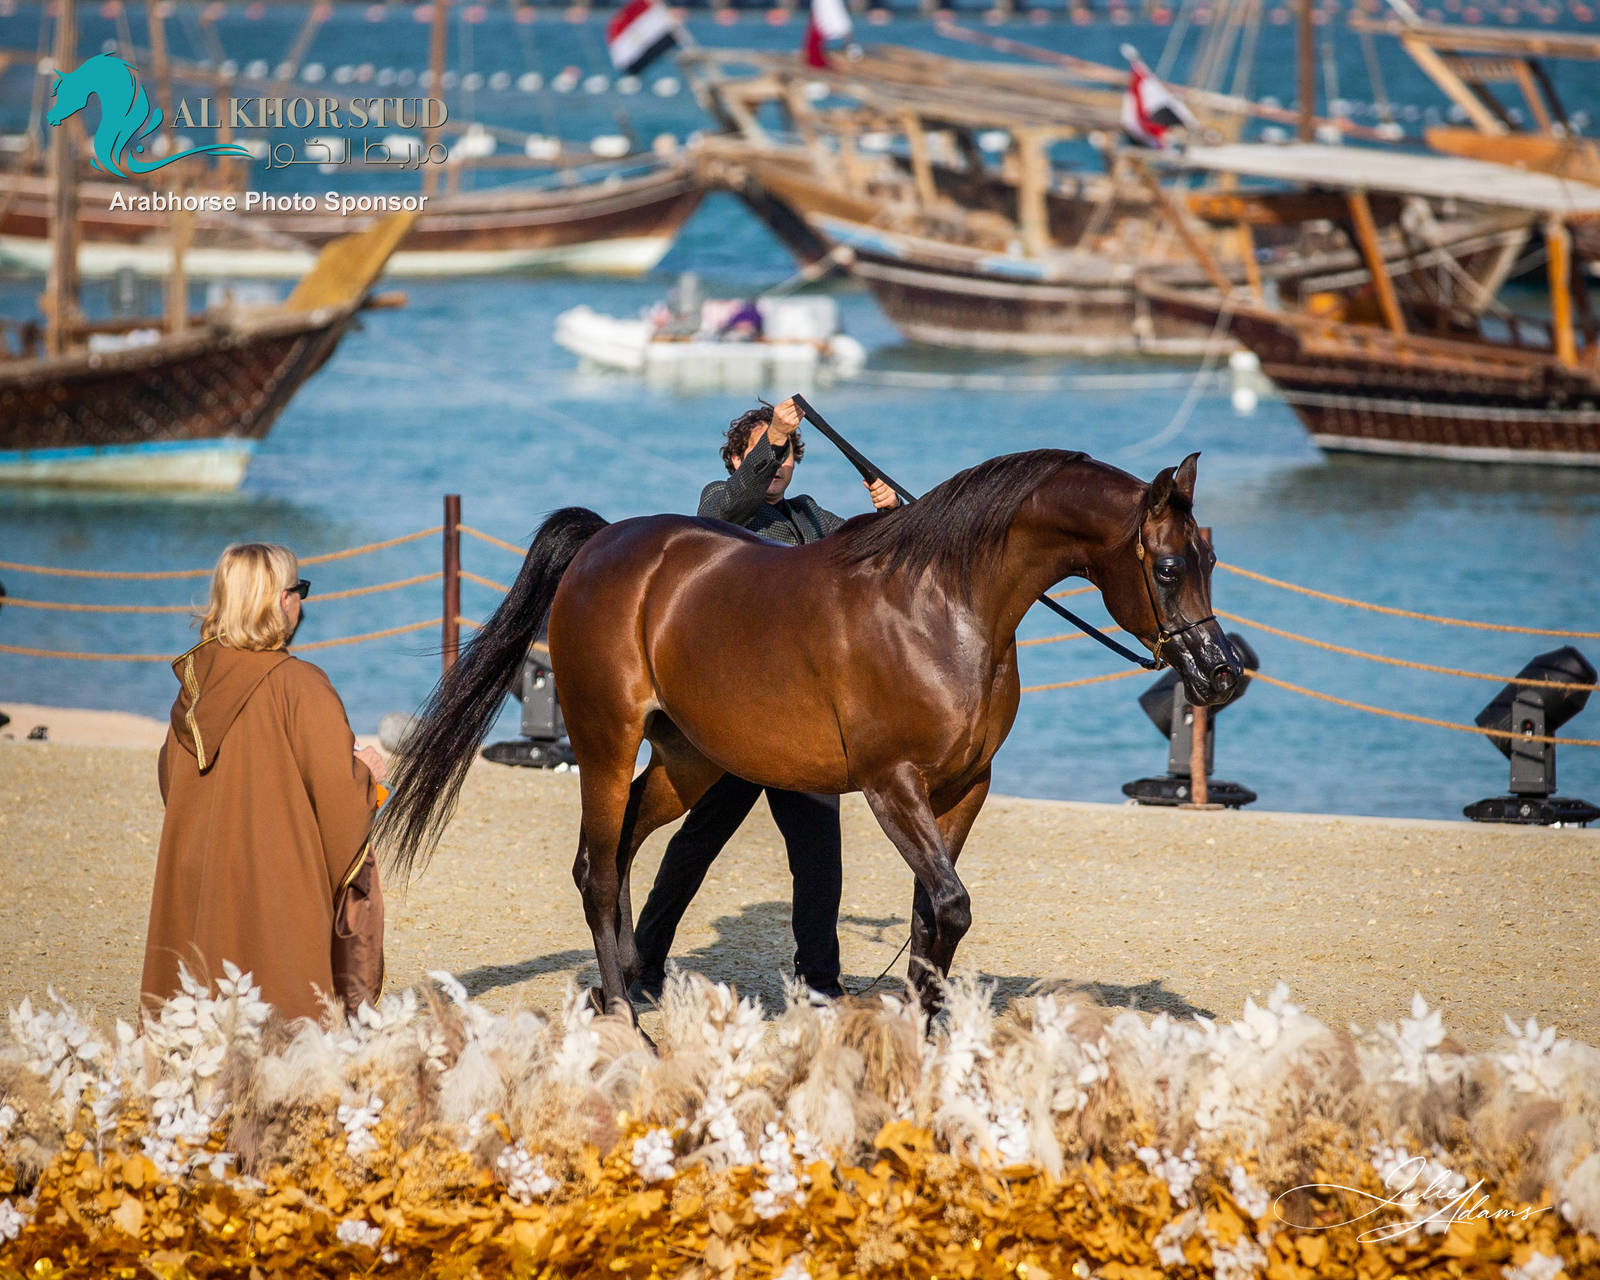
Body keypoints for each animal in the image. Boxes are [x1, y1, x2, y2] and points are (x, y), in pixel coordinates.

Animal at [377, 448, 1244, 1018]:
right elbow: (950, 907)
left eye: (1210, 557)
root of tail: (602, 543)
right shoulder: (892, 785)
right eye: (1167, 567)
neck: (944, 608)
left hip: (687, 761)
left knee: (622, 851)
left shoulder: (965, 788)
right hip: (604, 743)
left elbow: (933, 919)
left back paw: (623, 982)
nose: (1221, 675)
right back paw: (624, 1014)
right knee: (594, 866)